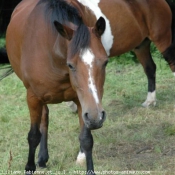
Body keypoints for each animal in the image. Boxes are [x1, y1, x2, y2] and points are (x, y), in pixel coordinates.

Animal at [6, 0, 108, 174]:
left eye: (105, 62)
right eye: (71, 65)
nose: (96, 117)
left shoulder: (82, 101)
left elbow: (86, 140)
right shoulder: (33, 97)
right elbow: (33, 135)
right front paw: (29, 167)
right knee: (44, 117)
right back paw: (41, 158)